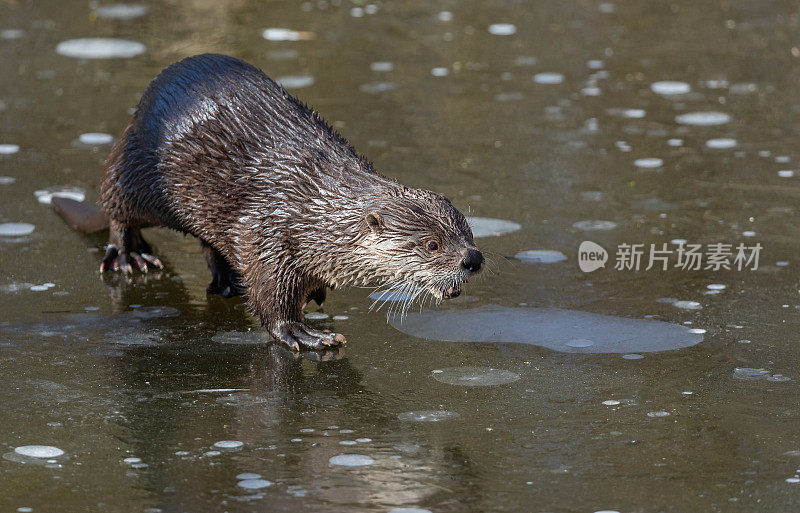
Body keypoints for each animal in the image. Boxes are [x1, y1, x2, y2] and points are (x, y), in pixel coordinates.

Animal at [76, 54, 482, 350]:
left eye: (468, 232)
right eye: (432, 244)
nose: (473, 259)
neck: (314, 212)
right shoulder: (266, 233)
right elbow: (271, 294)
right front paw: (300, 332)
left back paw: (227, 281)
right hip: (140, 170)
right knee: (115, 202)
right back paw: (129, 255)